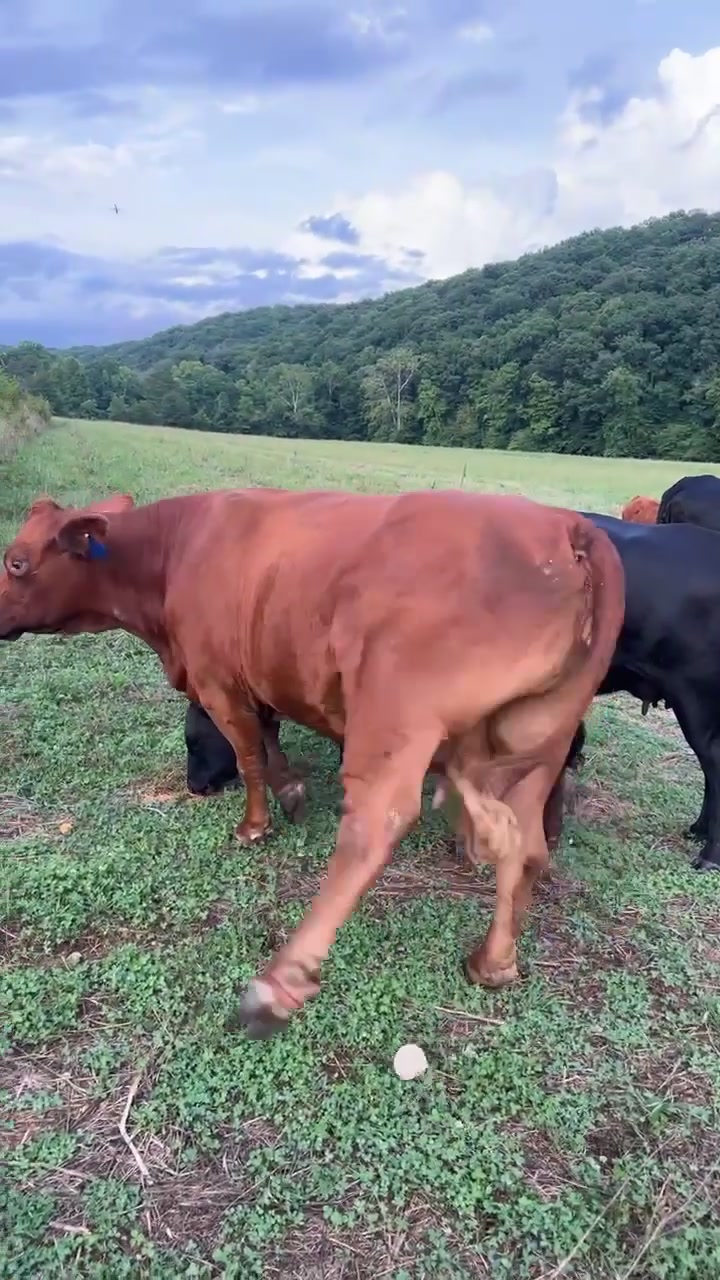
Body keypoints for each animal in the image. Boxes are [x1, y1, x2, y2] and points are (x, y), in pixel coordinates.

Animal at [0, 487, 624, 1037]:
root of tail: (567, 525)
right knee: (525, 843)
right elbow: (271, 741)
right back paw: (493, 961)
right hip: (539, 743)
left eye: (16, 562)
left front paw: (255, 825)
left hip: (395, 718)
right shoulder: (259, 676)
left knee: (375, 828)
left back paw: (278, 985)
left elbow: (249, 753)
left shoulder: (219, 681)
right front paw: (292, 793)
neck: (177, 549)